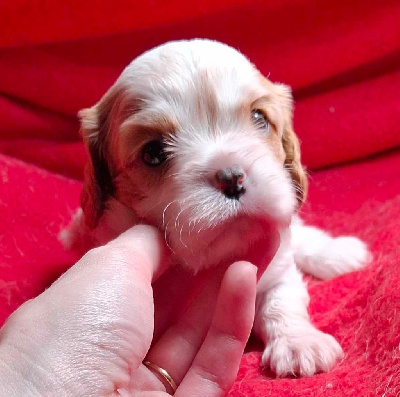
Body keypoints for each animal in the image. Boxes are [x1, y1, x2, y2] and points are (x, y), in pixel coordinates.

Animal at [61, 38, 370, 376]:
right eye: (153, 152)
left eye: (259, 118)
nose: (232, 177)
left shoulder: (277, 264)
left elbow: (281, 300)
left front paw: (300, 342)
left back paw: (339, 253)